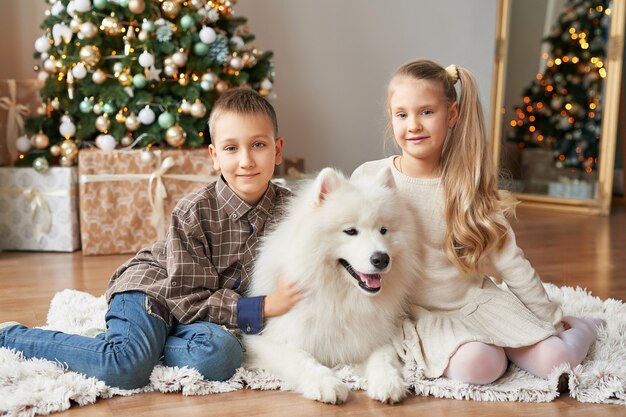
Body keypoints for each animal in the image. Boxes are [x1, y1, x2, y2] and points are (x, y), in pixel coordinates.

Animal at [244, 166, 420, 404]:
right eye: (350, 231)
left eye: (383, 230)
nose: (381, 259)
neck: (340, 297)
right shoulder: (266, 340)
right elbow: (301, 358)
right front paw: (327, 383)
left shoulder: (375, 336)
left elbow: (383, 357)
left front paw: (388, 382)